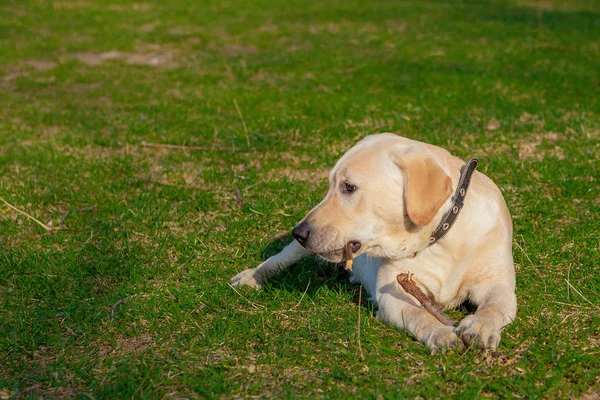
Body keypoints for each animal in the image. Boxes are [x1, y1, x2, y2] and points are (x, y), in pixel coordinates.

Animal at [230, 134, 516, 354]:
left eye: (348, 187)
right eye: (331, 186)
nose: (298, 231)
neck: (441, 238)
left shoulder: (499, 285)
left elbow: (496, 306)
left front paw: (479, 326)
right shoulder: (393, 294)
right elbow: (419, 315)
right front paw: (441, 333)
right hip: (296, 249)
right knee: (280, 258)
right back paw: (251, 276)